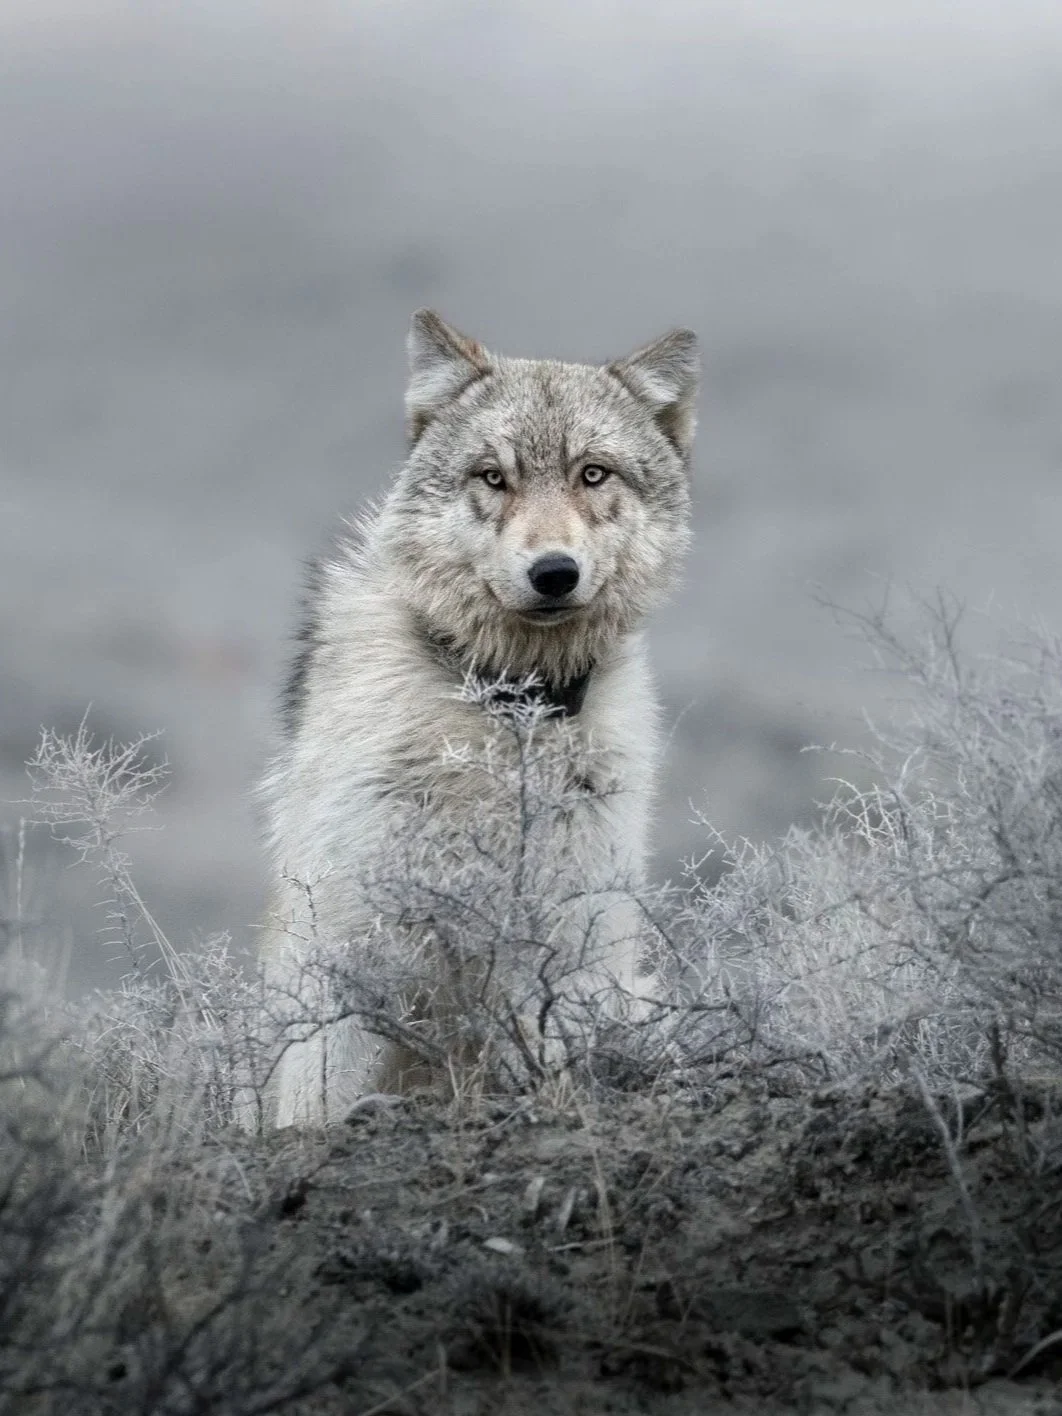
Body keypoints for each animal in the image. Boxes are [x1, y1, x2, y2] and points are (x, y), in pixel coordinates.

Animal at [259, 311, 699, 1126]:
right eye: (494, 477)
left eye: (593, 474)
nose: (553, 573)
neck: (506, 713)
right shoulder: (347, 940)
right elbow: (317, 1096)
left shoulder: (565, 940)